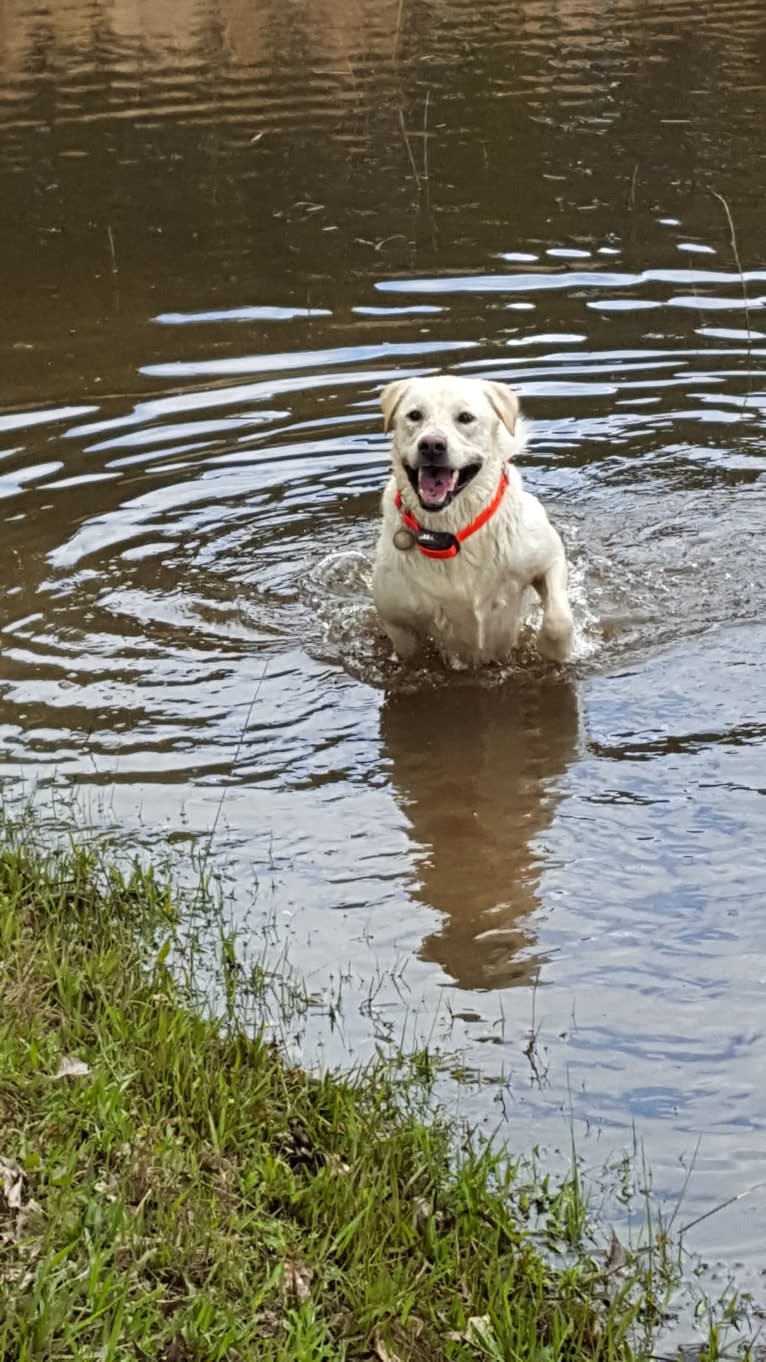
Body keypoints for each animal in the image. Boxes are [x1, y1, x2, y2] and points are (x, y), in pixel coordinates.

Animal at [370, 375, 572, 667]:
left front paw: (555, 651)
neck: (449, 532)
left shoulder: (550, 557)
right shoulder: (398, 621)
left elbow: (559, 619)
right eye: (414, 415)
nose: (431, 445)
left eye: (465, 417)